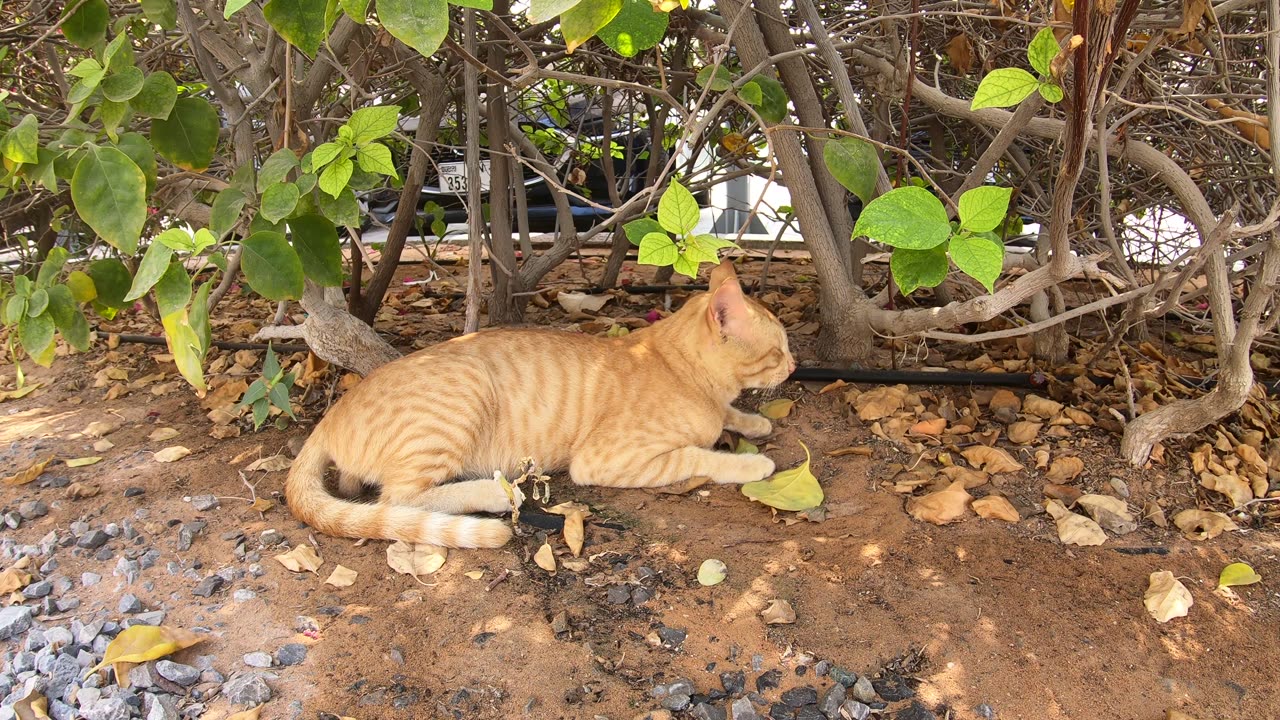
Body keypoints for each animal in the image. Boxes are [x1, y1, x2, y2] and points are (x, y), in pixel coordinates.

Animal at [285, 257, 793, 543]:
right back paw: (493, 492)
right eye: (780, 349)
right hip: (462, 396)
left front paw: (753, 421)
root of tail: (328, 418)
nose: (793, 366)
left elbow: (729, 416)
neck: (676, 366)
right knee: (400, 499)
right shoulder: (604, 459)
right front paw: (752, 463)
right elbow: (696, 454)